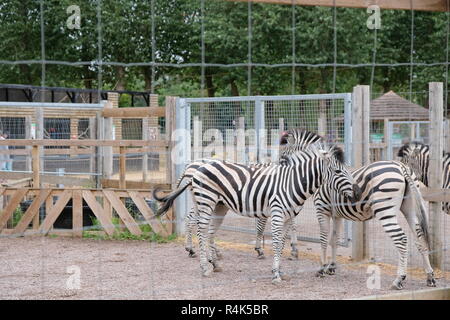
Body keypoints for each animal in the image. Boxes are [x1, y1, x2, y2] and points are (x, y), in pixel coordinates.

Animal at [153, 131, 360, 284]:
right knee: (201, 229)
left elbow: (282, 242)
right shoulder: (276, 212)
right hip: (206, 201)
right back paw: (203, 265)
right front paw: (274, 271)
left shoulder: (288, 215)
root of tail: (195, 167)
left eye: (347, 169)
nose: (357, 193)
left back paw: (215, 262)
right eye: (337, 171)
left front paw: (282, 266)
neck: (292, 181)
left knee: (207, 230)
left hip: (218, 206)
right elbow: (272, 239)